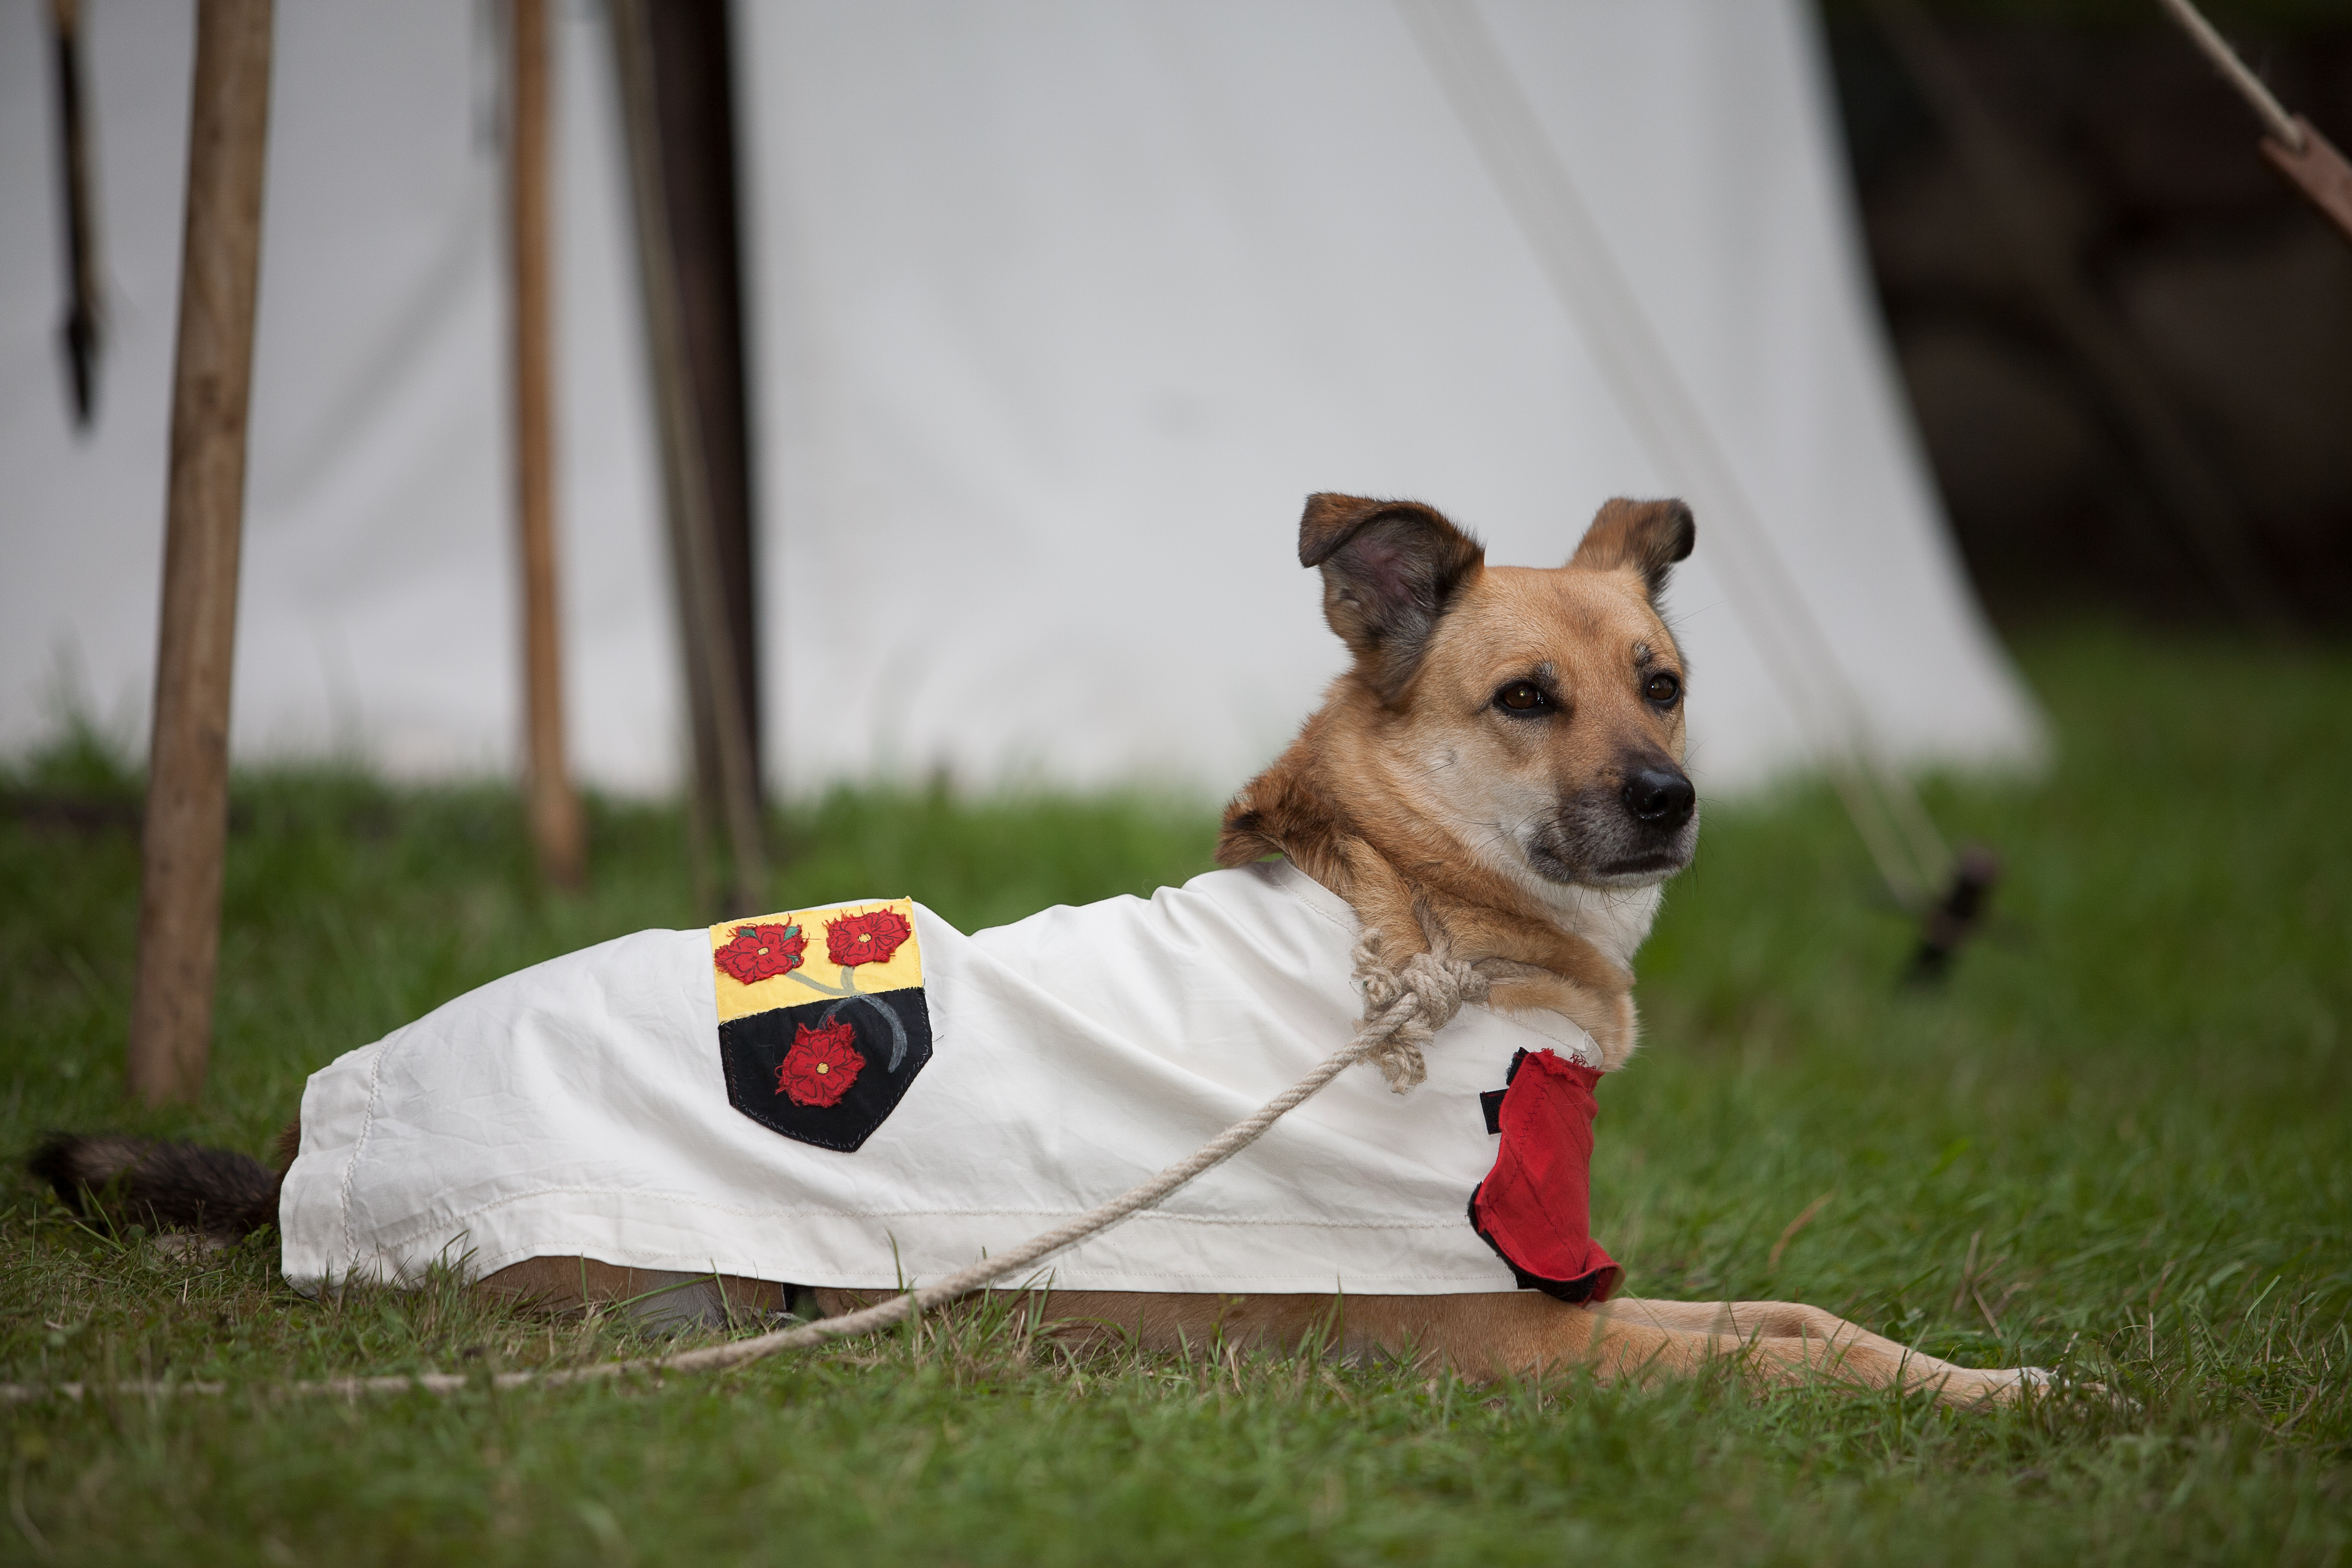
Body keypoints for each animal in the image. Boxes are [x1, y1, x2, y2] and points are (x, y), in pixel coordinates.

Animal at [34, 493, 2044, 1404]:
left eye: (1663, 680)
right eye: (1523, 698)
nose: (1666, 798)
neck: (1416, 917)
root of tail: (305, 1152)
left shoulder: (1587, 1298)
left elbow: (1797, 1316)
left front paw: (1980, 1369)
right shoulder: (1513, 1341)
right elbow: (1796, 1362)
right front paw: (1985, 1397)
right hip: (671, 1280)